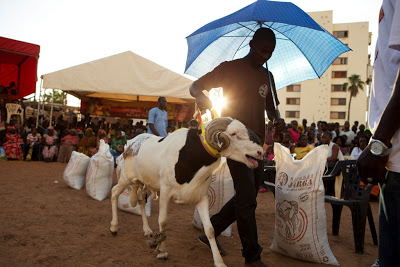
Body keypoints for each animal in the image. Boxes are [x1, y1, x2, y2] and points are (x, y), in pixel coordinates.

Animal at [111, 118, 264, 266]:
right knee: (114, 193)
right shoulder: (165, 192)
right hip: (125, 178)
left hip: (144, 182)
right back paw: (114, 228)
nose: (260, 152)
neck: (190, 156)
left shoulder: (202, 197)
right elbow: (163, 222)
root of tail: (131, 142)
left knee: (141, 201)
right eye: (233, 134)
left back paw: (147, 230)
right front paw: (162, 252)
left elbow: (210, 229)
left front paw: (219, 262)